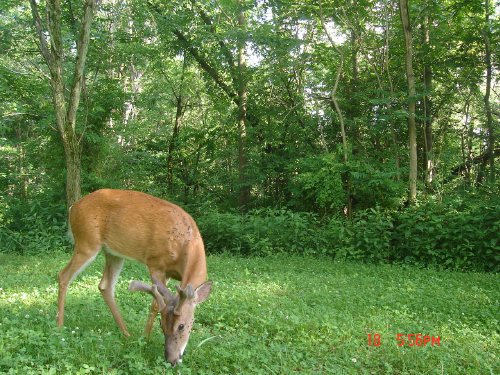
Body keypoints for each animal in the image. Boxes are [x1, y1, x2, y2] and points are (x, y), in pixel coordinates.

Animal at [56, 189, 213, 366]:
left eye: (182, 326)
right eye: (162, 325)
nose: (171, 360)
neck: (185, 245)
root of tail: (73, 207)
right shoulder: (156, 263)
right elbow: (155, 305)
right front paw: (145, 338)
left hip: (113, 252)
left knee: (104, 285)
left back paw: (126, 333)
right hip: (87, 242)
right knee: (63, 275)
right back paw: (60, 326)